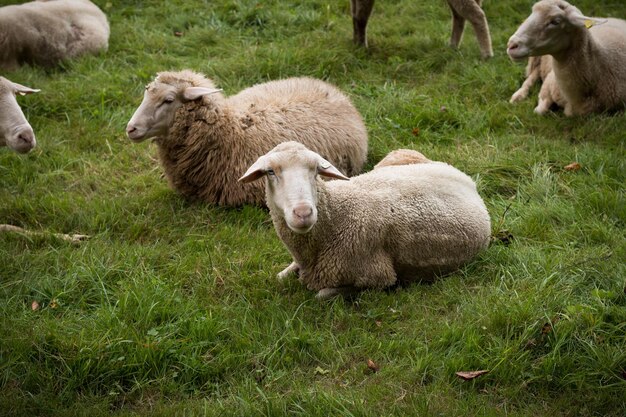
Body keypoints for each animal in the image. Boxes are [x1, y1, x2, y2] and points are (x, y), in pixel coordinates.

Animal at [238, 143, 488, 300]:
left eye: (316, 170)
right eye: (270, 172)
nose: (303, 213)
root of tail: (465, 178)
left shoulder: (377, 278)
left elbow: (321, 294)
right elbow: (280, 278)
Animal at [348, 0, 490, 59]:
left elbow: (361, 17)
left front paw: (361, 47)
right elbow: (355, 15)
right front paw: (356, 45)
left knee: (476, 13)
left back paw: (487, 54)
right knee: (459, 15)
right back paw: (453, 47)